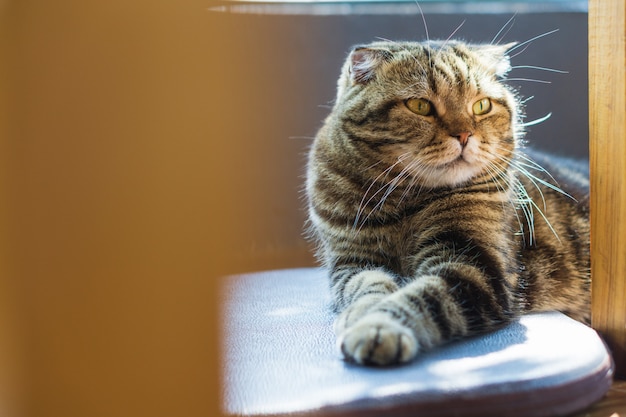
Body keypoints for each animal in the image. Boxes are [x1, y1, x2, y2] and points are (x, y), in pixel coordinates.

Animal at [304, 39, 588, 364]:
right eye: (420, 105)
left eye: (481, 105)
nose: (464, 135)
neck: (404, 200)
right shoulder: (352, 260)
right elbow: (365, 287)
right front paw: (361, 312)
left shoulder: (474, 265)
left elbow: (423, 297)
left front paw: (378, 328)